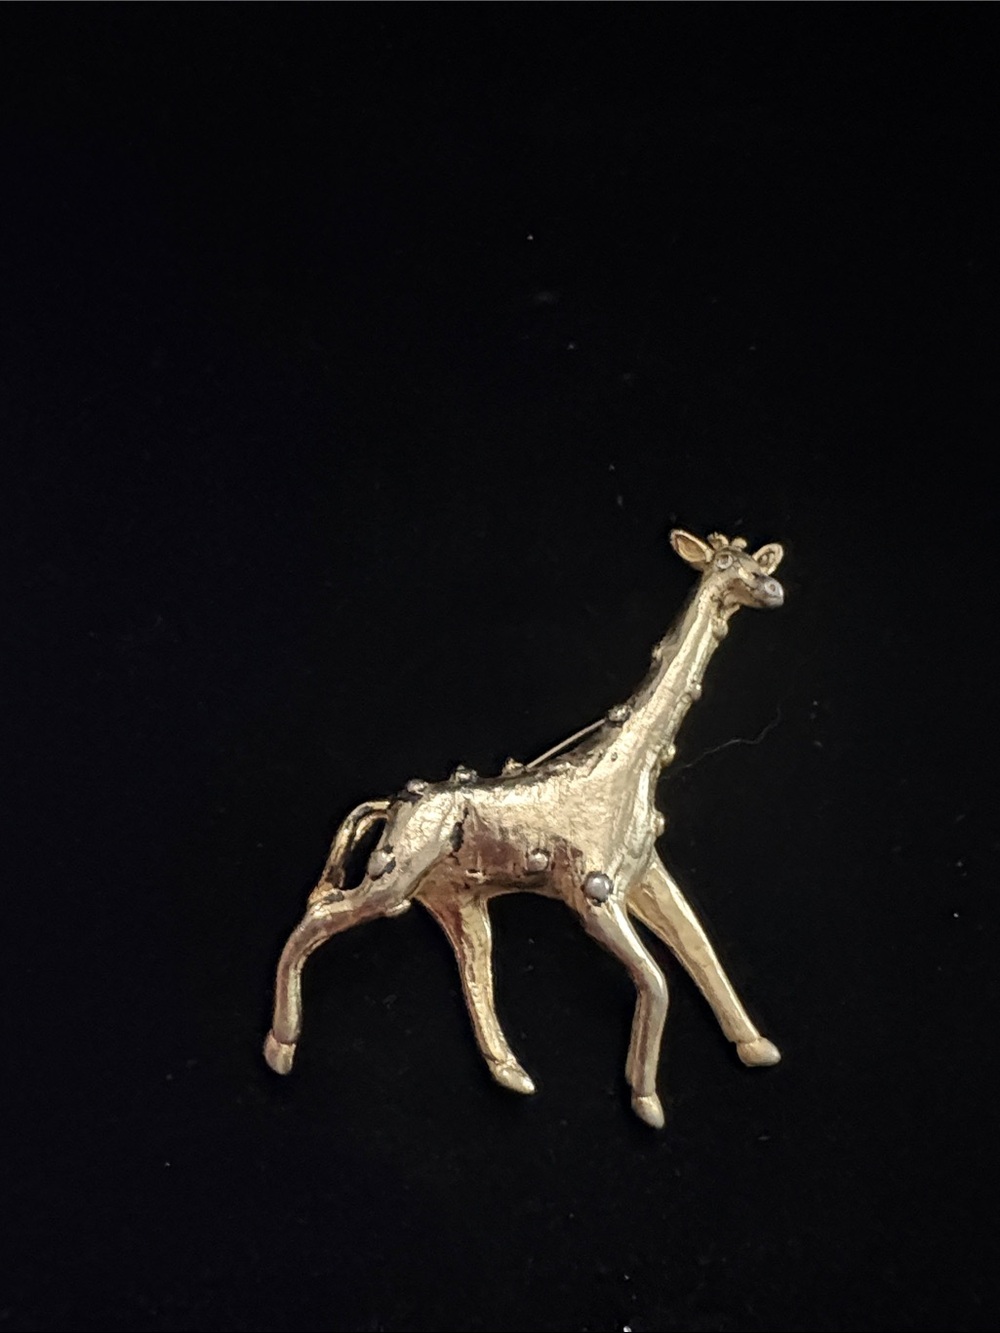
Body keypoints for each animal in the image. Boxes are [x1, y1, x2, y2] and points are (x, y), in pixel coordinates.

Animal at [264, 528, 786, 1128]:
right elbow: (657, 982)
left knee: (473, 973)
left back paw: (511, 1073)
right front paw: (645, 1101)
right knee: (315, 918)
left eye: (756, 561)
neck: (624, 765)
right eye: (724, 563)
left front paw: (756, 1047)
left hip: (454, 898)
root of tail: (392, 806)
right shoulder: (594, 896)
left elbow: (701, 951)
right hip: (393, 879)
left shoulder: (646, 877)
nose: (773, 589)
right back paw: (279, 1047)